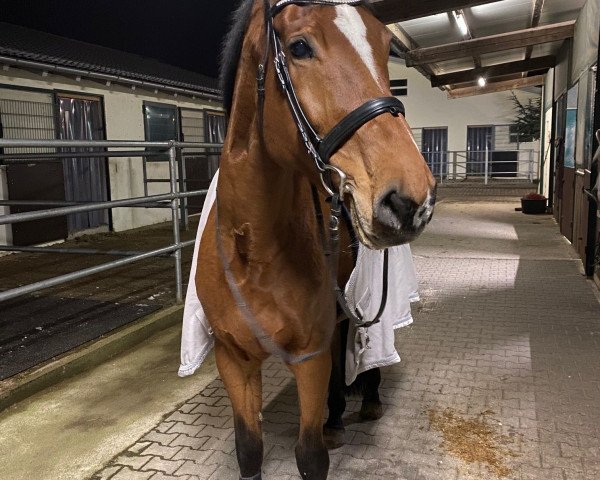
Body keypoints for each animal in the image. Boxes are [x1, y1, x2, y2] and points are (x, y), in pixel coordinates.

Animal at [197, 1, 436, 478]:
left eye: (385, 47)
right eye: (300, 47)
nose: (411, 199)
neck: (255, 250)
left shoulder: (309, 358)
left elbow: (310, 455)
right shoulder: (233, 360)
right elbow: (248, 449)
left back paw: (362, 402)